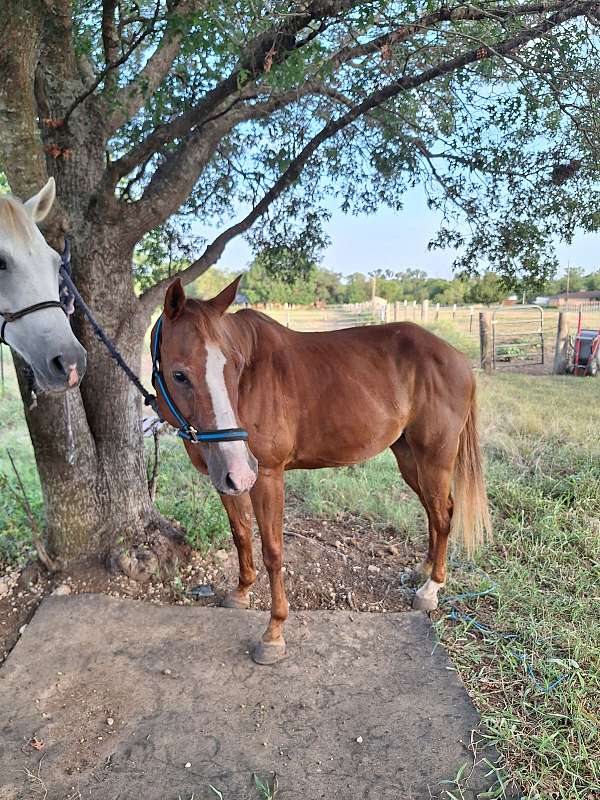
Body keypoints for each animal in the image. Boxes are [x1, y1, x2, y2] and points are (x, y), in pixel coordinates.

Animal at [151, 276, 491, 664]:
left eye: (236, 366)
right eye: (179, 375)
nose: (240, 465)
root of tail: (458, 359)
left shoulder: (266, 476)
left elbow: (273, 551)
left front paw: (274, 634)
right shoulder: (227, 479)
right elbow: (241, 535)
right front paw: (241, 592)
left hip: (434, 458)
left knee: (444, 514)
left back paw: (431, 588)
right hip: (409, 459)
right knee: (435, 514)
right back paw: (423, 571)